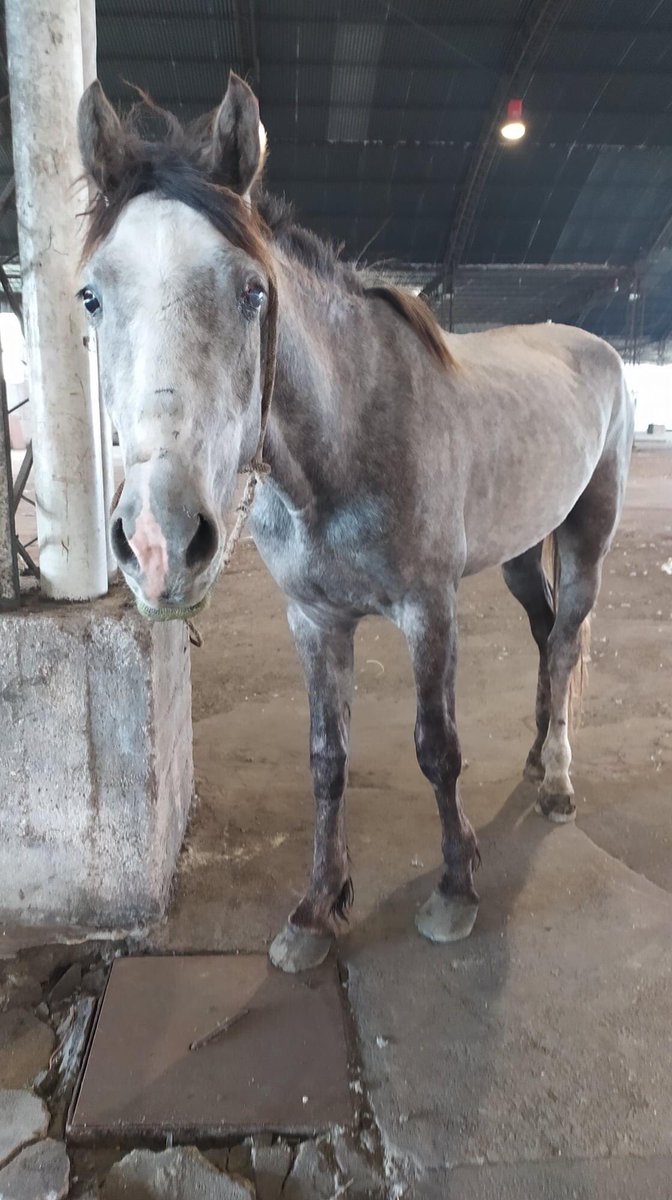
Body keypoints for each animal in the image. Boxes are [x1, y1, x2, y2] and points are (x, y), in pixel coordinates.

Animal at [76, 73, 634, 973]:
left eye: (253, 291)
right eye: (91, 294)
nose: (161, 542)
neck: (348, 438)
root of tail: (596, 346)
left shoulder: (429, 611)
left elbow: (436, 747)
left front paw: (455, 888)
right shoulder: (314, 620)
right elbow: (326, 758)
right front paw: (315, 909)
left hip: (589, 533)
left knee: (568, 639)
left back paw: (556, 782)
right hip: (520, 551)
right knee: (547, 636)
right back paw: (534, 756)